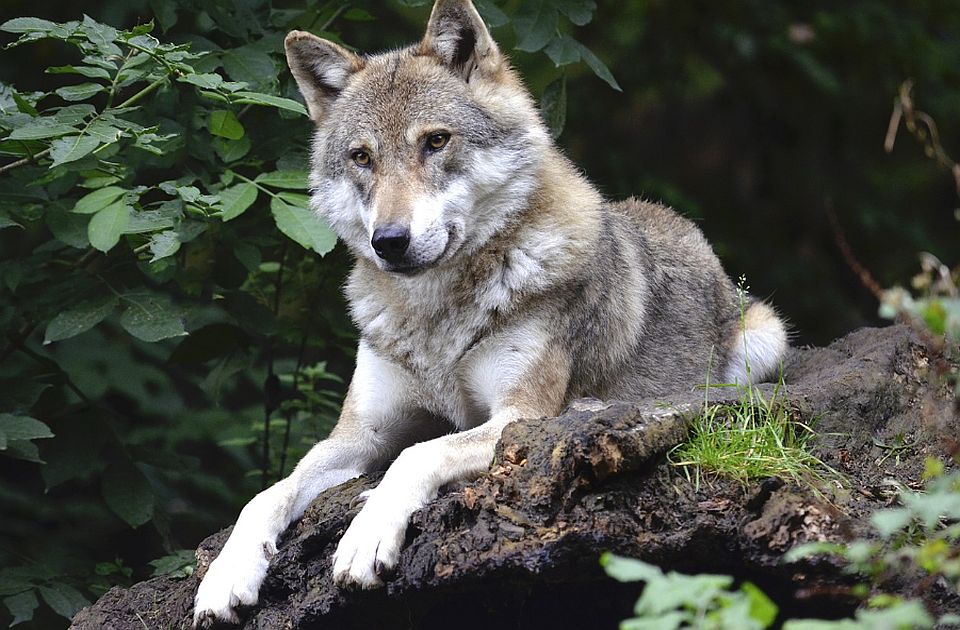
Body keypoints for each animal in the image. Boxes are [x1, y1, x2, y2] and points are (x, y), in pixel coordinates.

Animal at [193, 0, 788, 628]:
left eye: (435, 142)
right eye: (362, 158)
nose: (389, 241)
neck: (436, 318)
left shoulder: (516, 417)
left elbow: (417, 454)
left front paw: (366, 534)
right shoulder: (359, 433)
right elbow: (268, 493)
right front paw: (226, 575)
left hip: (762, 339)